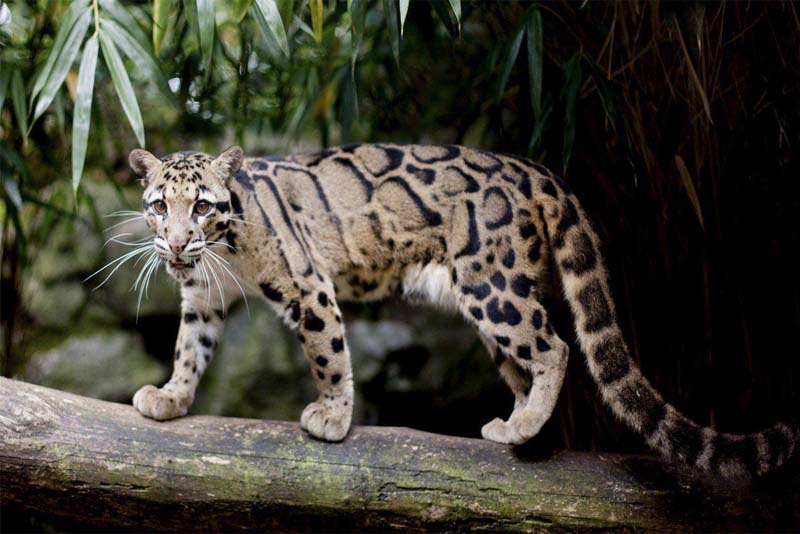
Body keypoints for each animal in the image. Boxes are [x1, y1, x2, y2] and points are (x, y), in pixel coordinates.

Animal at [125, 142, 792, 478]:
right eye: (159, 205)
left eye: (203, 205)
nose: (177, 244)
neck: (222, 251)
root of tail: (540, 171)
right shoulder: (203, 297)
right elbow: (190, 348)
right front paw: (171, 396)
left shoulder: (307, 284)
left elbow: (328, 354)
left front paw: (333, 417)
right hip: (492, 298)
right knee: (524, 363)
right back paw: (517, 423)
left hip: (491, 284)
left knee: (555, 345)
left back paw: (524, 427)